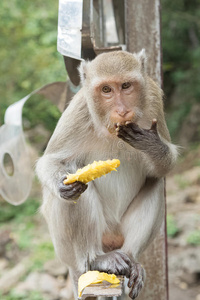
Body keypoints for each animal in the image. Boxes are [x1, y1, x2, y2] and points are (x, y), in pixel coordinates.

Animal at [36, 50, 178, 298]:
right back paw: (96, 260)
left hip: (118, 235)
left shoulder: (153, 100)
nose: (121, 110)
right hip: (65, 248)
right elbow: (52, 161)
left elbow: (164, 168)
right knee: (77, 185)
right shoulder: (79, 111)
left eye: (126, 85)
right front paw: (62, 185)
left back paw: (132, 260)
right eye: (106, 90)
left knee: (155, 182)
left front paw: (151, 145)